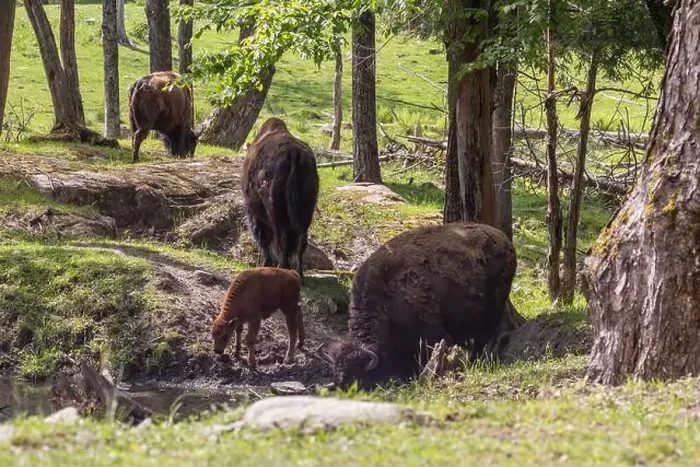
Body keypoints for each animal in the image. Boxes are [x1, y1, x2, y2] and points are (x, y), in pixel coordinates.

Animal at [241, 117, 320, 279]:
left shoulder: (254, 214)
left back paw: (282, 268)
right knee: (301, 240)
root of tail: (293, 153)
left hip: (274, 210)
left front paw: (266, 263)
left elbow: (263, 239)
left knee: (280, 238)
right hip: (306, 210)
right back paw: (299, 273)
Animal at [318, 222, 517, 390]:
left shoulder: (432, 333)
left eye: (356, 374)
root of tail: (504, 239)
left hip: (494, 306)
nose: (341, 386)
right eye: (336, 368)